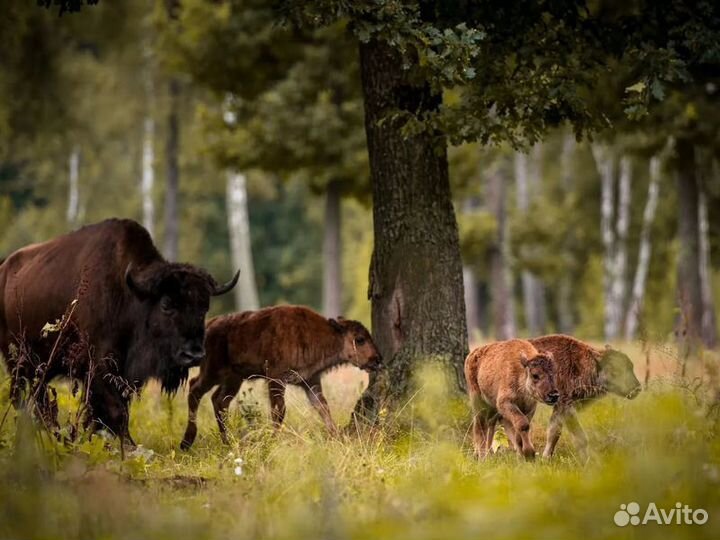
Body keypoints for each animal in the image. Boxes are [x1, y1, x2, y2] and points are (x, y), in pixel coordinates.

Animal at [0, 217, 239, 446]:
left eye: (204, 307)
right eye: (166, 304)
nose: (194, 355)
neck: (130, 295)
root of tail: (5, 269)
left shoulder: (124, 374)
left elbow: (106, 412)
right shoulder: (98, 366)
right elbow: (115, 411)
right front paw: (129, 446)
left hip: (41, 367)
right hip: (18, 362)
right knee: (23, 397)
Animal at [180, 306, 382, 450]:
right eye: (360, 339)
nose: (377, 359)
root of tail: (210, 324)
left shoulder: (311, 382)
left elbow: (323, 407)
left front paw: (337, 438)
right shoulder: (276, 379)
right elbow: (279, 411)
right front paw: (272, 440)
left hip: (234, 378)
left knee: (219, 401)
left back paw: (227, 441)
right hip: (213, 371)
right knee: (195, 389)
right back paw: (187, 442)